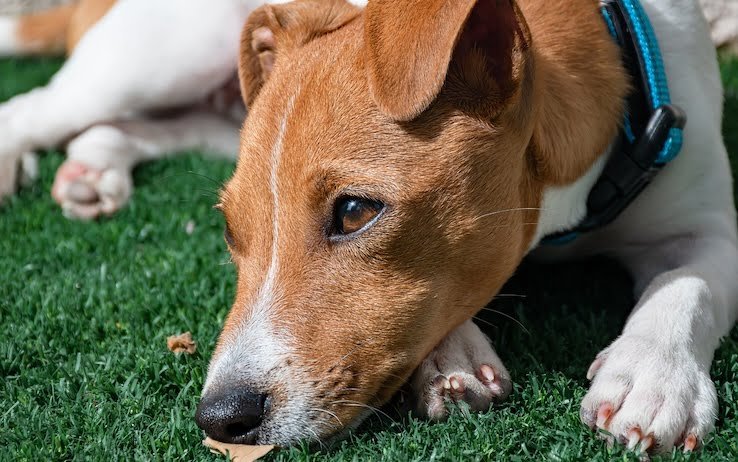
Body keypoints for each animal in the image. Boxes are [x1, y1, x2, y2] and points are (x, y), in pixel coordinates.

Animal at [0, 0, 732, 456]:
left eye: (355, 212)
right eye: (232, 231)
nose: (220, 419)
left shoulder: (708, 225)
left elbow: (689, 287)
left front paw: (652, 379)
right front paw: (451, 355)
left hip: (215, 112)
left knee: (134, 128)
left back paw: (94, 170)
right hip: (165, 55)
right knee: (38, 105)